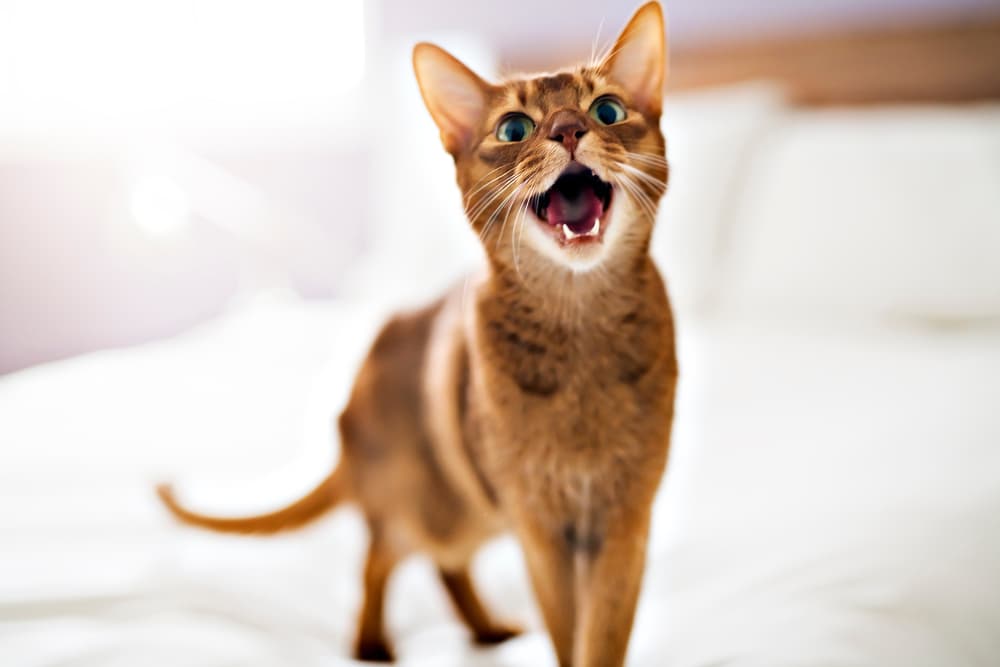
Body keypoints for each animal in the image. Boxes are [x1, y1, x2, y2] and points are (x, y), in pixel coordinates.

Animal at [158, 2, 680, 664]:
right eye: (514, 128)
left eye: (608, 110)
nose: (567, 129)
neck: (579, 335)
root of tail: (348, 421)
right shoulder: (540, 527)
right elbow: (569, 632)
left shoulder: (625, 518)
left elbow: (606, 629)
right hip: (444, 503)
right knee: (384, 551)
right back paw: (371, 641)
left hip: (473, 511)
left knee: (442, 565)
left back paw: (485, 630)